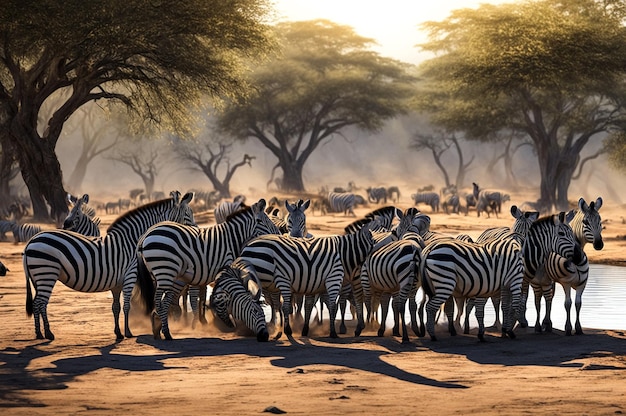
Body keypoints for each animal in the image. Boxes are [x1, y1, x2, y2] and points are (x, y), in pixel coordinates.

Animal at [23, 190, 195, 340]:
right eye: (189, 213)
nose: (195, 230)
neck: (130, 241)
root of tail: (30, 241)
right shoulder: (130, 276)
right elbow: (127, 306)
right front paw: (128, 332)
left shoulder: (117, 283)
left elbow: (116, 307)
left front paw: (118, 333)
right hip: (46, 274)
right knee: (40, 303)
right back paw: (47, 333)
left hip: (38, 277)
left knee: (37, 303)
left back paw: (39, 333)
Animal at [137, 200, 280, 340]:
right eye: (260, 221)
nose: (278, 235)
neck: (231, 240)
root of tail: (146, 234)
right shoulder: (226, 268)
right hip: (165, 272)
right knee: (159, 300)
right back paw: (166, 332)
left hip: (162, 274)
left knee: (164, 301)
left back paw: (158, 328)